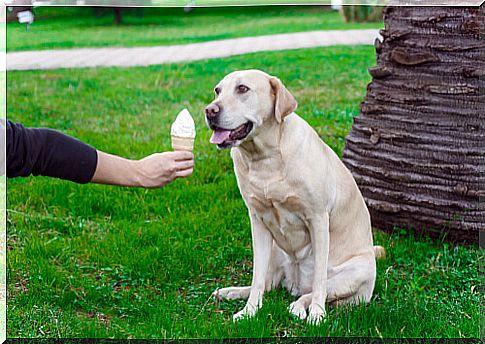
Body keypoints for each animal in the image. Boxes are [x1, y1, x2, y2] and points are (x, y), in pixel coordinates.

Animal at [204, 69, 382, 322]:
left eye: (242, 89)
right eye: (217, 91)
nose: (210, 110)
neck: (264, 158)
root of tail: (297, 286)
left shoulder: (318, 218)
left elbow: (319, 281)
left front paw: (317, 313)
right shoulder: (257, 221)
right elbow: (257, 278)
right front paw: (249, 311)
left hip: (357, 271)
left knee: (316, 290)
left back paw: (300, 306)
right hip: (275, 251)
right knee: (267, 283)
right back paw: (232, 292)